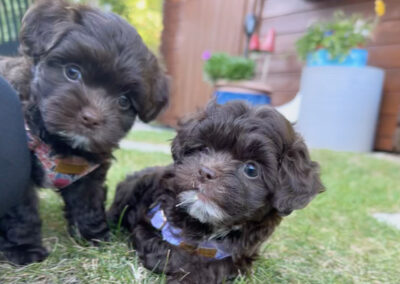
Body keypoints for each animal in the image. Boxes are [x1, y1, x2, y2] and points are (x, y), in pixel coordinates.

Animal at [0, 0, 168, 266]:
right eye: (72, 72)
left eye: (123, 101)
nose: (92, 118)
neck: (60, 143)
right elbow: (22, 212)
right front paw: (24, 249)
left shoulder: (89, 174)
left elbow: (88, 203)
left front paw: (96, 237)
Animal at [108, 101, 324, 284]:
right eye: (203, 148)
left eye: (251, 169)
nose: (205, 172)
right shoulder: (151, 222)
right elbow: (164, 250)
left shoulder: (239, 256)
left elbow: (218, 267)